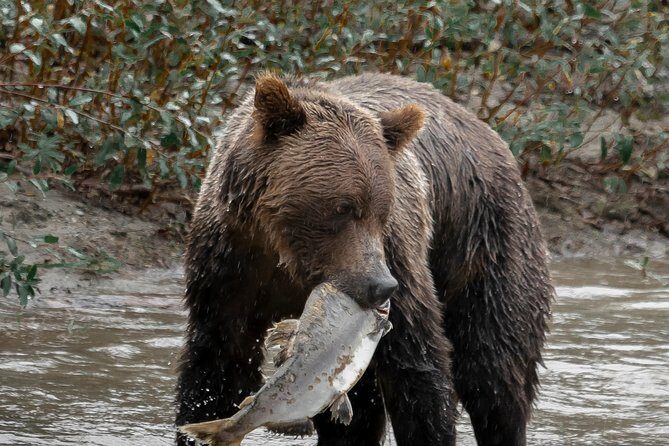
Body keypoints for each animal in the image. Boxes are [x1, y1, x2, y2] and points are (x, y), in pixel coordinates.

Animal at [175, 72, 554, 446]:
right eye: (343, 208)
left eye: (381, 211)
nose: (380, 286)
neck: (284, 254)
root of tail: (488, 131)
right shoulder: (228, 266)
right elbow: (218, 366)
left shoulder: (399, 259)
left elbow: (417, 368)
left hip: (484, 241)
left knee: (493, 367)